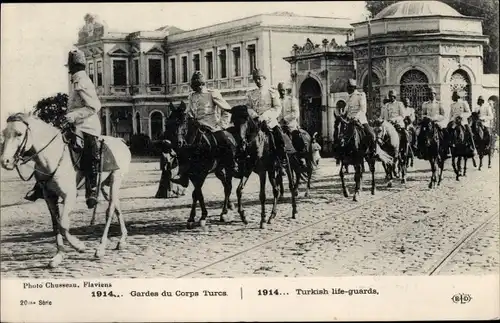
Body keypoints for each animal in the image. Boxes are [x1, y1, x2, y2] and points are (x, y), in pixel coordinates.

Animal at [0, 112, 132, 270]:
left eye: (19, 133)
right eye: (4, 133)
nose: (5, 162)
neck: (53, 157)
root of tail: (121, 141)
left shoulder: (69, 196)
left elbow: (63, 225)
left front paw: (79, 246)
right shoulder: (49, 197)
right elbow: (56, 224)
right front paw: (58, 256)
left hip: (116, 180)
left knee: (110, 211)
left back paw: (100, 248)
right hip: (105, 185)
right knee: (117, 207)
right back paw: (122, 240)